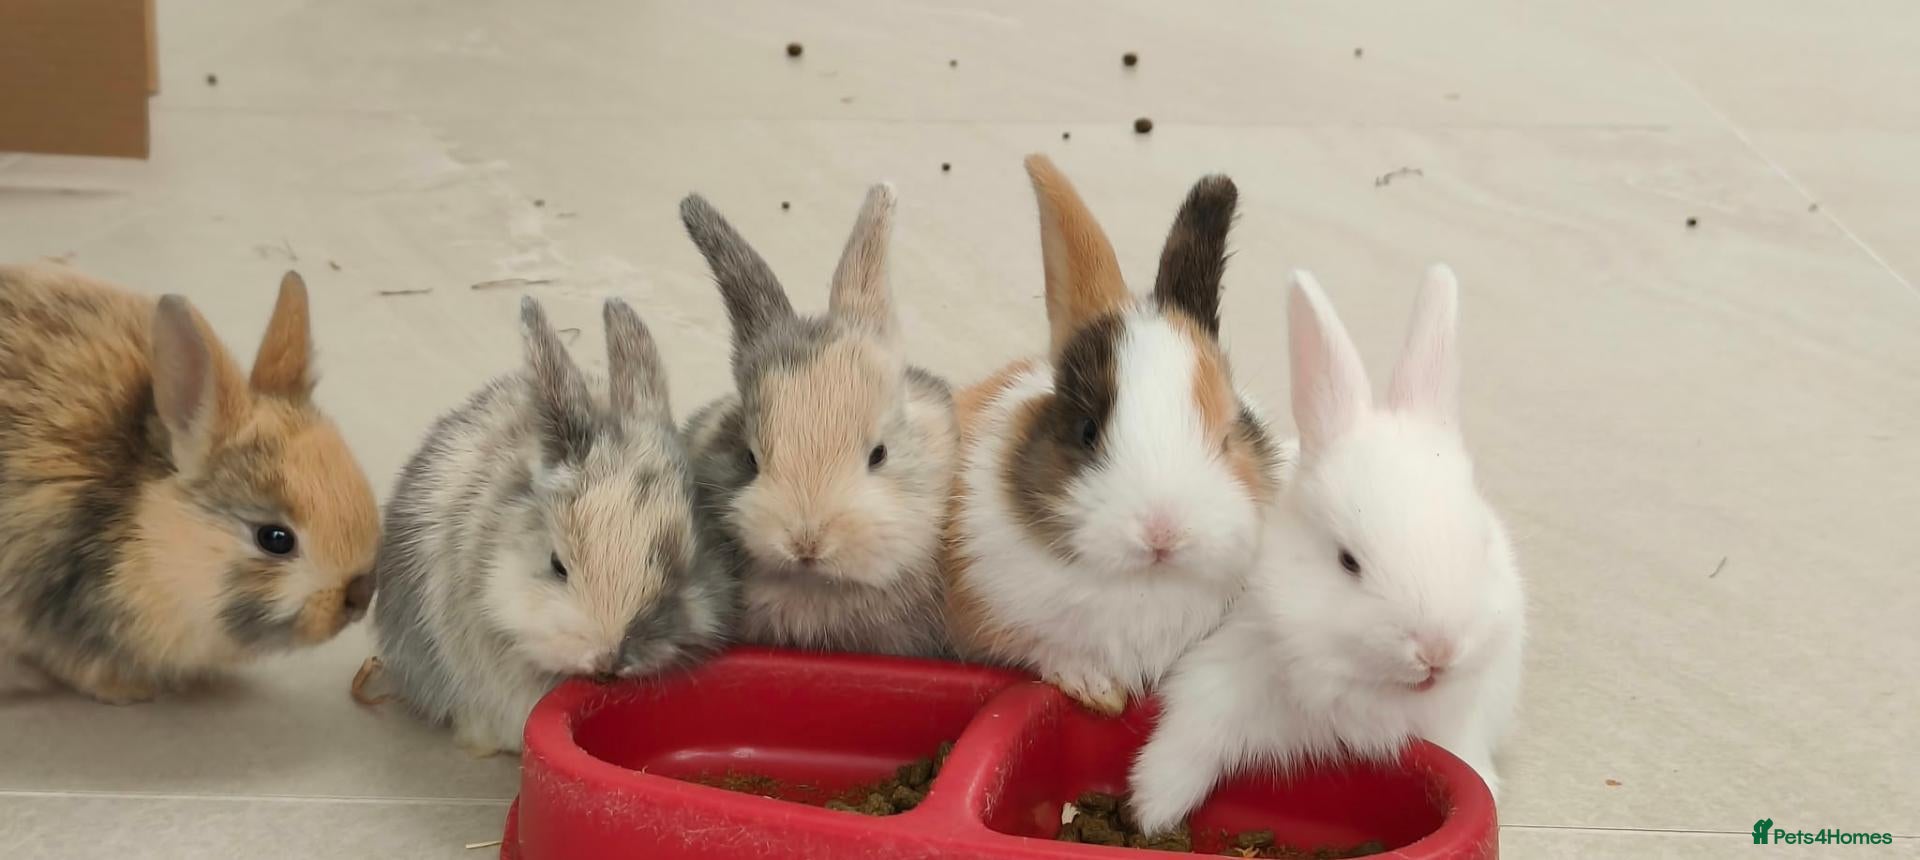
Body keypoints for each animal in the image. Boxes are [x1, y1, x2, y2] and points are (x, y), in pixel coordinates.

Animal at [942, 155, 1285, 715]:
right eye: (1087, 430)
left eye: (1229, 434)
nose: (1163, 533)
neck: (1145, 585)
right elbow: (1040, 647)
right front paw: (1095, 688)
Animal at [1127, 266, 1526, 835]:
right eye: (1347, 562)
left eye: (1482, 542)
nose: (1437, 652)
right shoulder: (1218, 676)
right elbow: (1190, 736)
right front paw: (1152, 808)